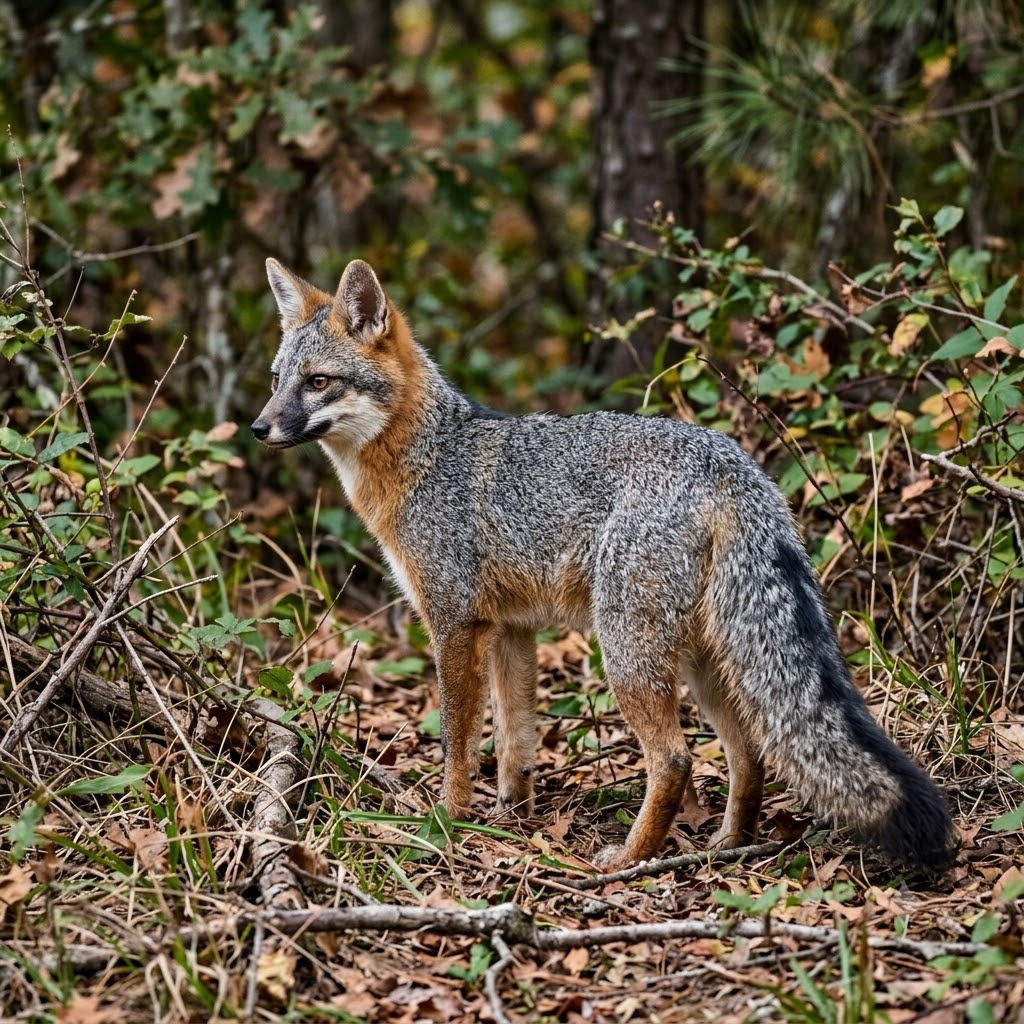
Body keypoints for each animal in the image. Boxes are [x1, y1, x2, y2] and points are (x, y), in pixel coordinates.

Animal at [251, 256, 957, 873]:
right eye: (278, 379)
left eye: (318, 381)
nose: (259, 428)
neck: (427, 456)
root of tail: (731, 461)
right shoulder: (511, 630)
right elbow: (515, 743)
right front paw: (509, 818)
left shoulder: (455, 626)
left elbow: (459, 742)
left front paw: (446, 821)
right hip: (704, 663)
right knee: (747, 750)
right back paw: (727, 844)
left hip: (627, 653)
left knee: (674, 760)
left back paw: (633, 859)